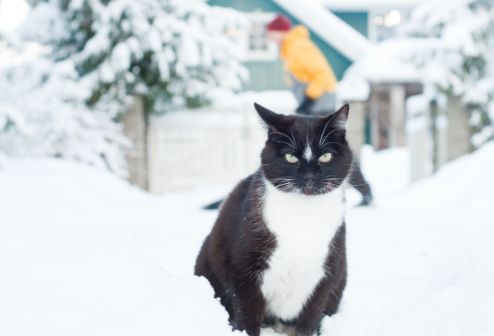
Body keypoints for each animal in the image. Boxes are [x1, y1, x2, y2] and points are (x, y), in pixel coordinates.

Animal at [195, 103, 354, 336]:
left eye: (325, 156)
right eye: (290, 157)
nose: (309, 176)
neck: (303, 215)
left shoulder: (326, 273)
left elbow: (311, 318)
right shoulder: (244, 272)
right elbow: (247, 316)